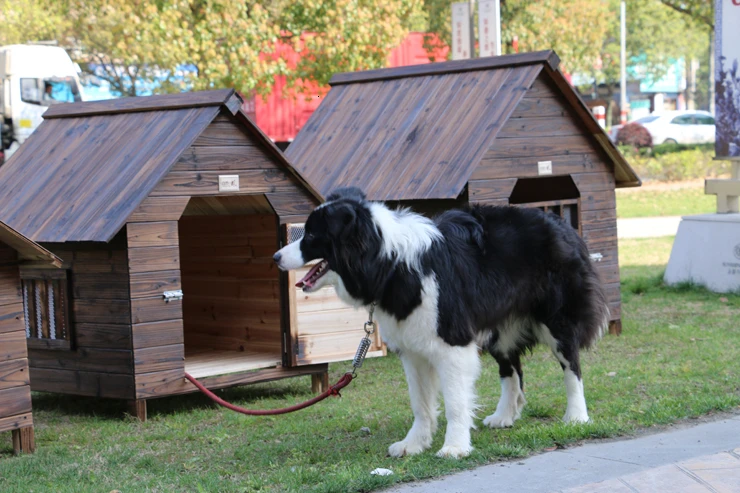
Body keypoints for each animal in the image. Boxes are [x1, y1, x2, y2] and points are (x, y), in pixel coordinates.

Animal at [272, 187, 608, 458]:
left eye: (311, 236)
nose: (275, 257)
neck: (390, 261)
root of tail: (561, 223)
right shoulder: (412, 348)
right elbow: (420, 402)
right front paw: (414, 444)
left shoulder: (452, 341)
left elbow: (456, 402)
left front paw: (455, 447)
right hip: (498, 328)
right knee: (510, 368)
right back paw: (504, 415)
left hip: (557, 318)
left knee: (571, 365)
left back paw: (576, 416)